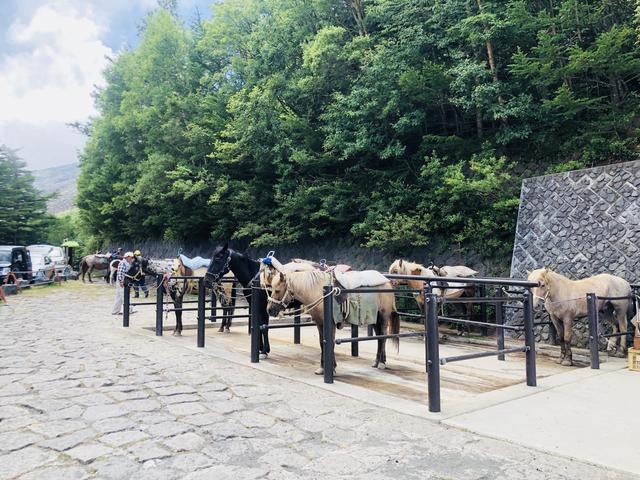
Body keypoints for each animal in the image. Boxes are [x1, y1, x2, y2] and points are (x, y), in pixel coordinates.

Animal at [266, 270, 400, 376]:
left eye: (277, 290)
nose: (269, 310)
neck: (318, 292)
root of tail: (387, 282)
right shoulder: (320, 324)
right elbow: (322, 343)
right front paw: (322, 368)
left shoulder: (331, 324)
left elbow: (330, 343)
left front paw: (331, 369)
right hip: (375, 319)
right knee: (379, 338)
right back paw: (377, 362)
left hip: (383, 317)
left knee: (383, 337)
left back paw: (381, 363)